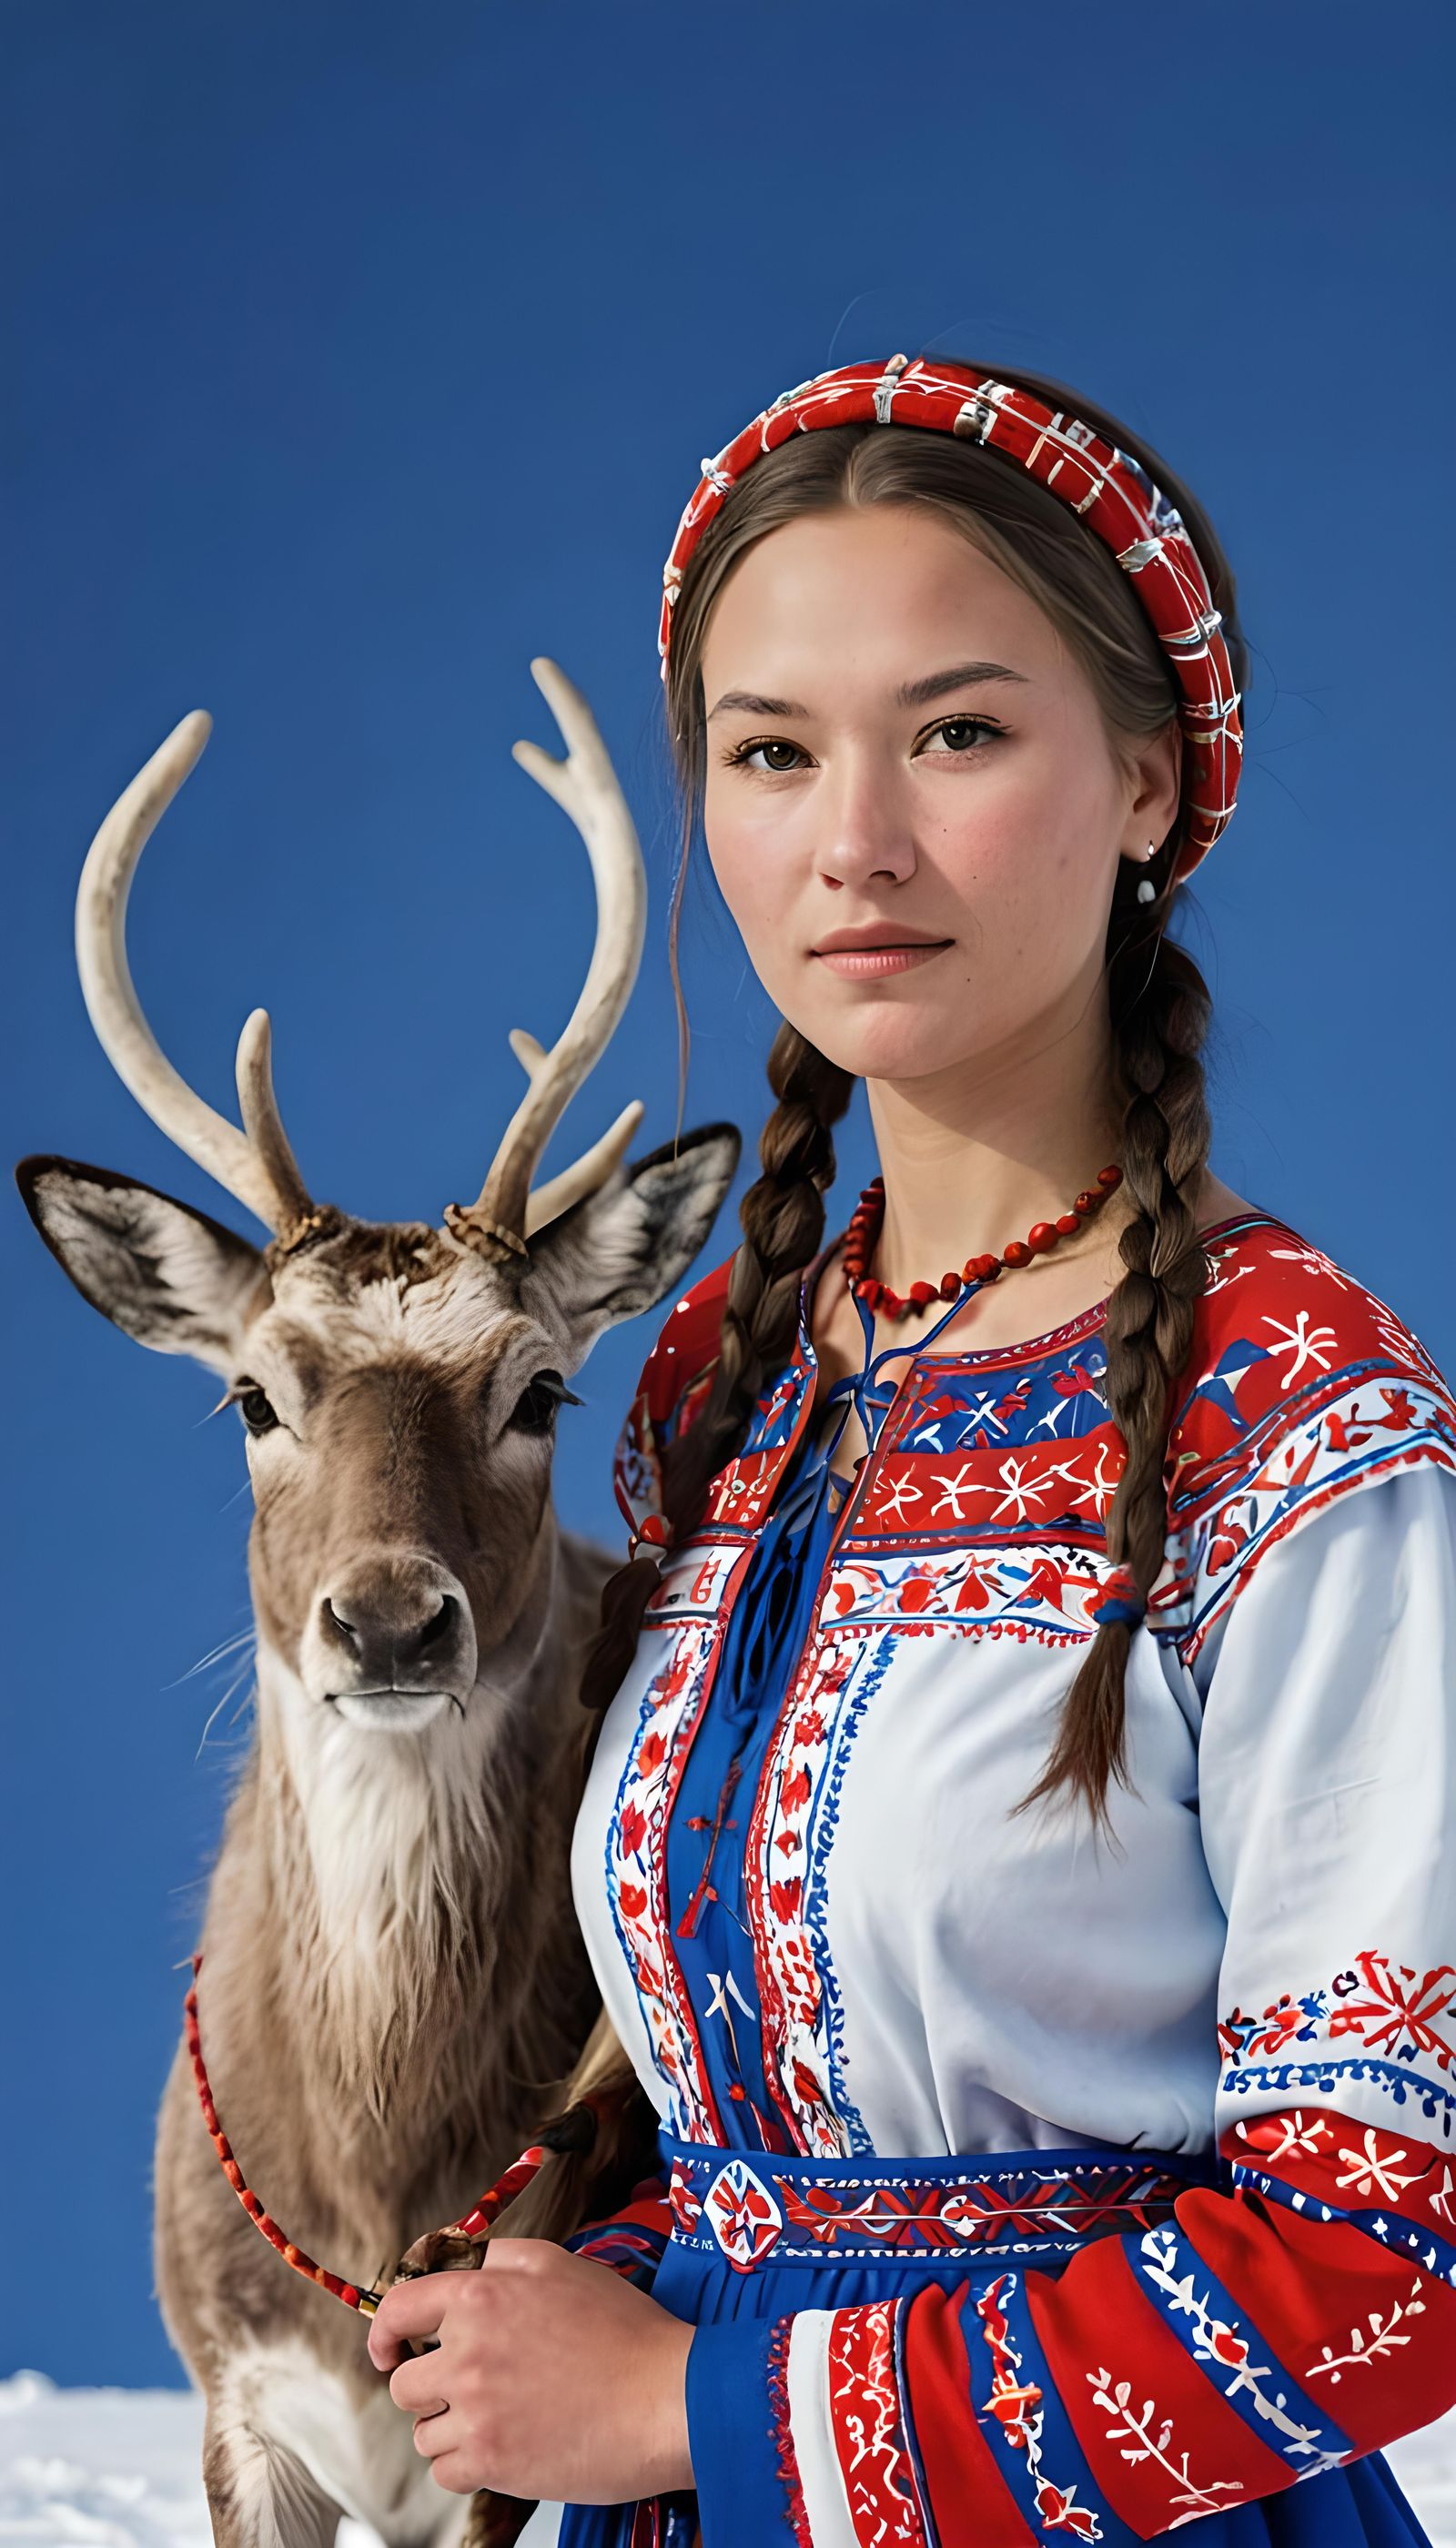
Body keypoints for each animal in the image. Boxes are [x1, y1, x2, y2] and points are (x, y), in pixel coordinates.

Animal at [16, 662, 740, 2548]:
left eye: (544, 1387)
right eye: (252, 1396)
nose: (396, 1623)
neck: (364, 2172)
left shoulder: (499, 2417)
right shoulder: (232, 2394)